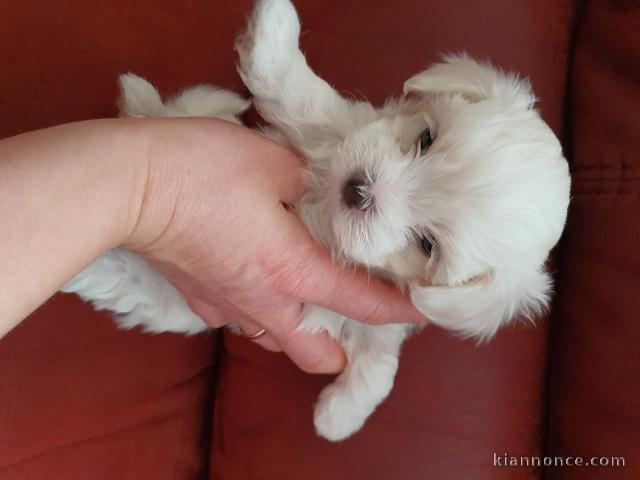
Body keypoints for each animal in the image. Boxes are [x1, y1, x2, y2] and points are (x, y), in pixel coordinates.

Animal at [62, 0, 568, 442]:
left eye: (427, 245)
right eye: (426, 137)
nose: (357, 189)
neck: (321, 204)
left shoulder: (382, 317)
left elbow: (380, 362)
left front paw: (338, 417)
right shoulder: (331, 129)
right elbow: (298, 95)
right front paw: (276, 25)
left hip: (171, 298)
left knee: (130, 285)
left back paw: (86, 268)